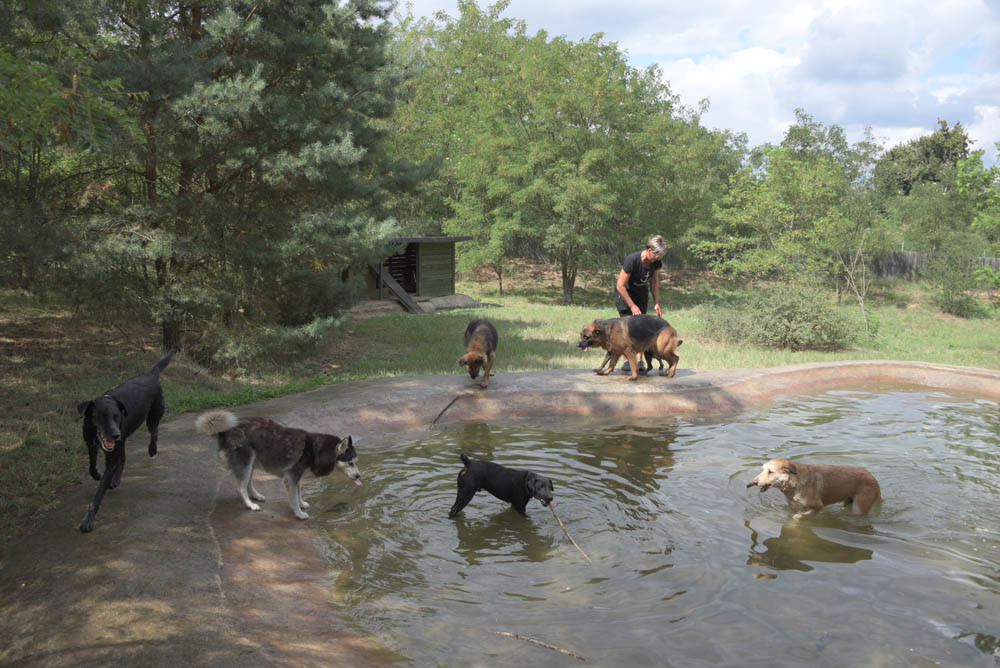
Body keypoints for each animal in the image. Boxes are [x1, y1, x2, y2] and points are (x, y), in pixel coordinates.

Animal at [75, 350, 177, 532]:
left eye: (117, 416)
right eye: (101, 417)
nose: (115, 434)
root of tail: (151, 376)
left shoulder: (111, 455)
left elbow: (98, 494)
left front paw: (88, 520)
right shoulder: (91, 444)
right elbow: (92, 467)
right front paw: (97, 474)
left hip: (152, 417)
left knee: (154, 431)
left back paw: (152, 449)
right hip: (122, 439)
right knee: (123, 457)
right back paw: (116, 479)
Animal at [193, 408, 362, 520]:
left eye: (355, 462)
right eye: (350, 463)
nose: (359, 476)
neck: (316, 450)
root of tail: (226, 430)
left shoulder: (297, 477)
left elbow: (298, 493)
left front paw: (301, 504)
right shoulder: (291, 478)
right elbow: (293, 498)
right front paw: (299, 513)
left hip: (253, 462)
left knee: (248, 483)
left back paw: (256, 496)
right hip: (247, 462)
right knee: (241, 487)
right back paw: (250, 504)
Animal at [748, 456, 880, 520]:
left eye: (770, 472)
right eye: (762, 470)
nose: (754, 482)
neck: (794, 483)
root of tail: (873, 478)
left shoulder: (817, 507)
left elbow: (797, 517)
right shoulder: (793, 507)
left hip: (859, 507)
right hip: (848, 501)